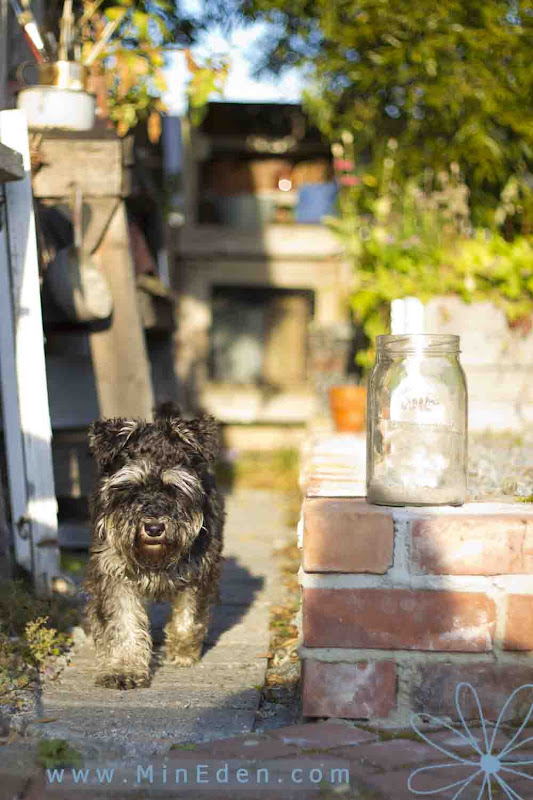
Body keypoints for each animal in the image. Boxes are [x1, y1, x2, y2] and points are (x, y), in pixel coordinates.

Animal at [83, 404, 224, 692]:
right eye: (131, 487)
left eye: (174, 488)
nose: (155, 527)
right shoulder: (113, 575)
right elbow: (123, 623)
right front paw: (123, 669)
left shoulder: (198, 572)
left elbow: (188, 616)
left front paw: (183, 651)